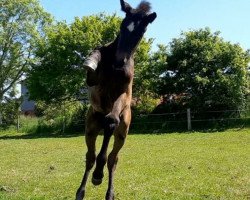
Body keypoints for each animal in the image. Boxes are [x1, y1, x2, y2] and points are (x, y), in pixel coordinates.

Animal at [75, 0, 156, 199]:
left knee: (113, 157)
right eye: (122, 26)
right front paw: (92, 59)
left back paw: (106, 187)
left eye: (141, 32)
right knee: (90, 157)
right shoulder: (95, 84)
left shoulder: (124, 95)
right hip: (90, 128)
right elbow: (93, 69)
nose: (119, 62)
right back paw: (82, 190)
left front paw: (99, 174)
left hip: (123, 132)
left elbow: (112, 119)